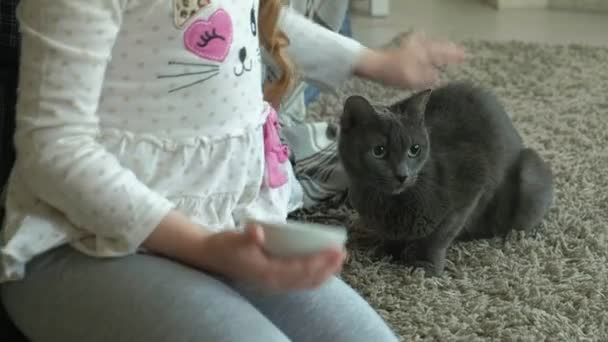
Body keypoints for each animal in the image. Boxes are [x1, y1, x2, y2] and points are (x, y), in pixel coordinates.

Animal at [340, 81, 552, 276]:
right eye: (379, 151)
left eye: (414, 149)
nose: (402, 175)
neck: (390, 203)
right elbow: (391, 236)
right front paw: (387, 251)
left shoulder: (472, 188)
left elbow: (439, 236)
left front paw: (424, 265)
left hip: (529, 175)